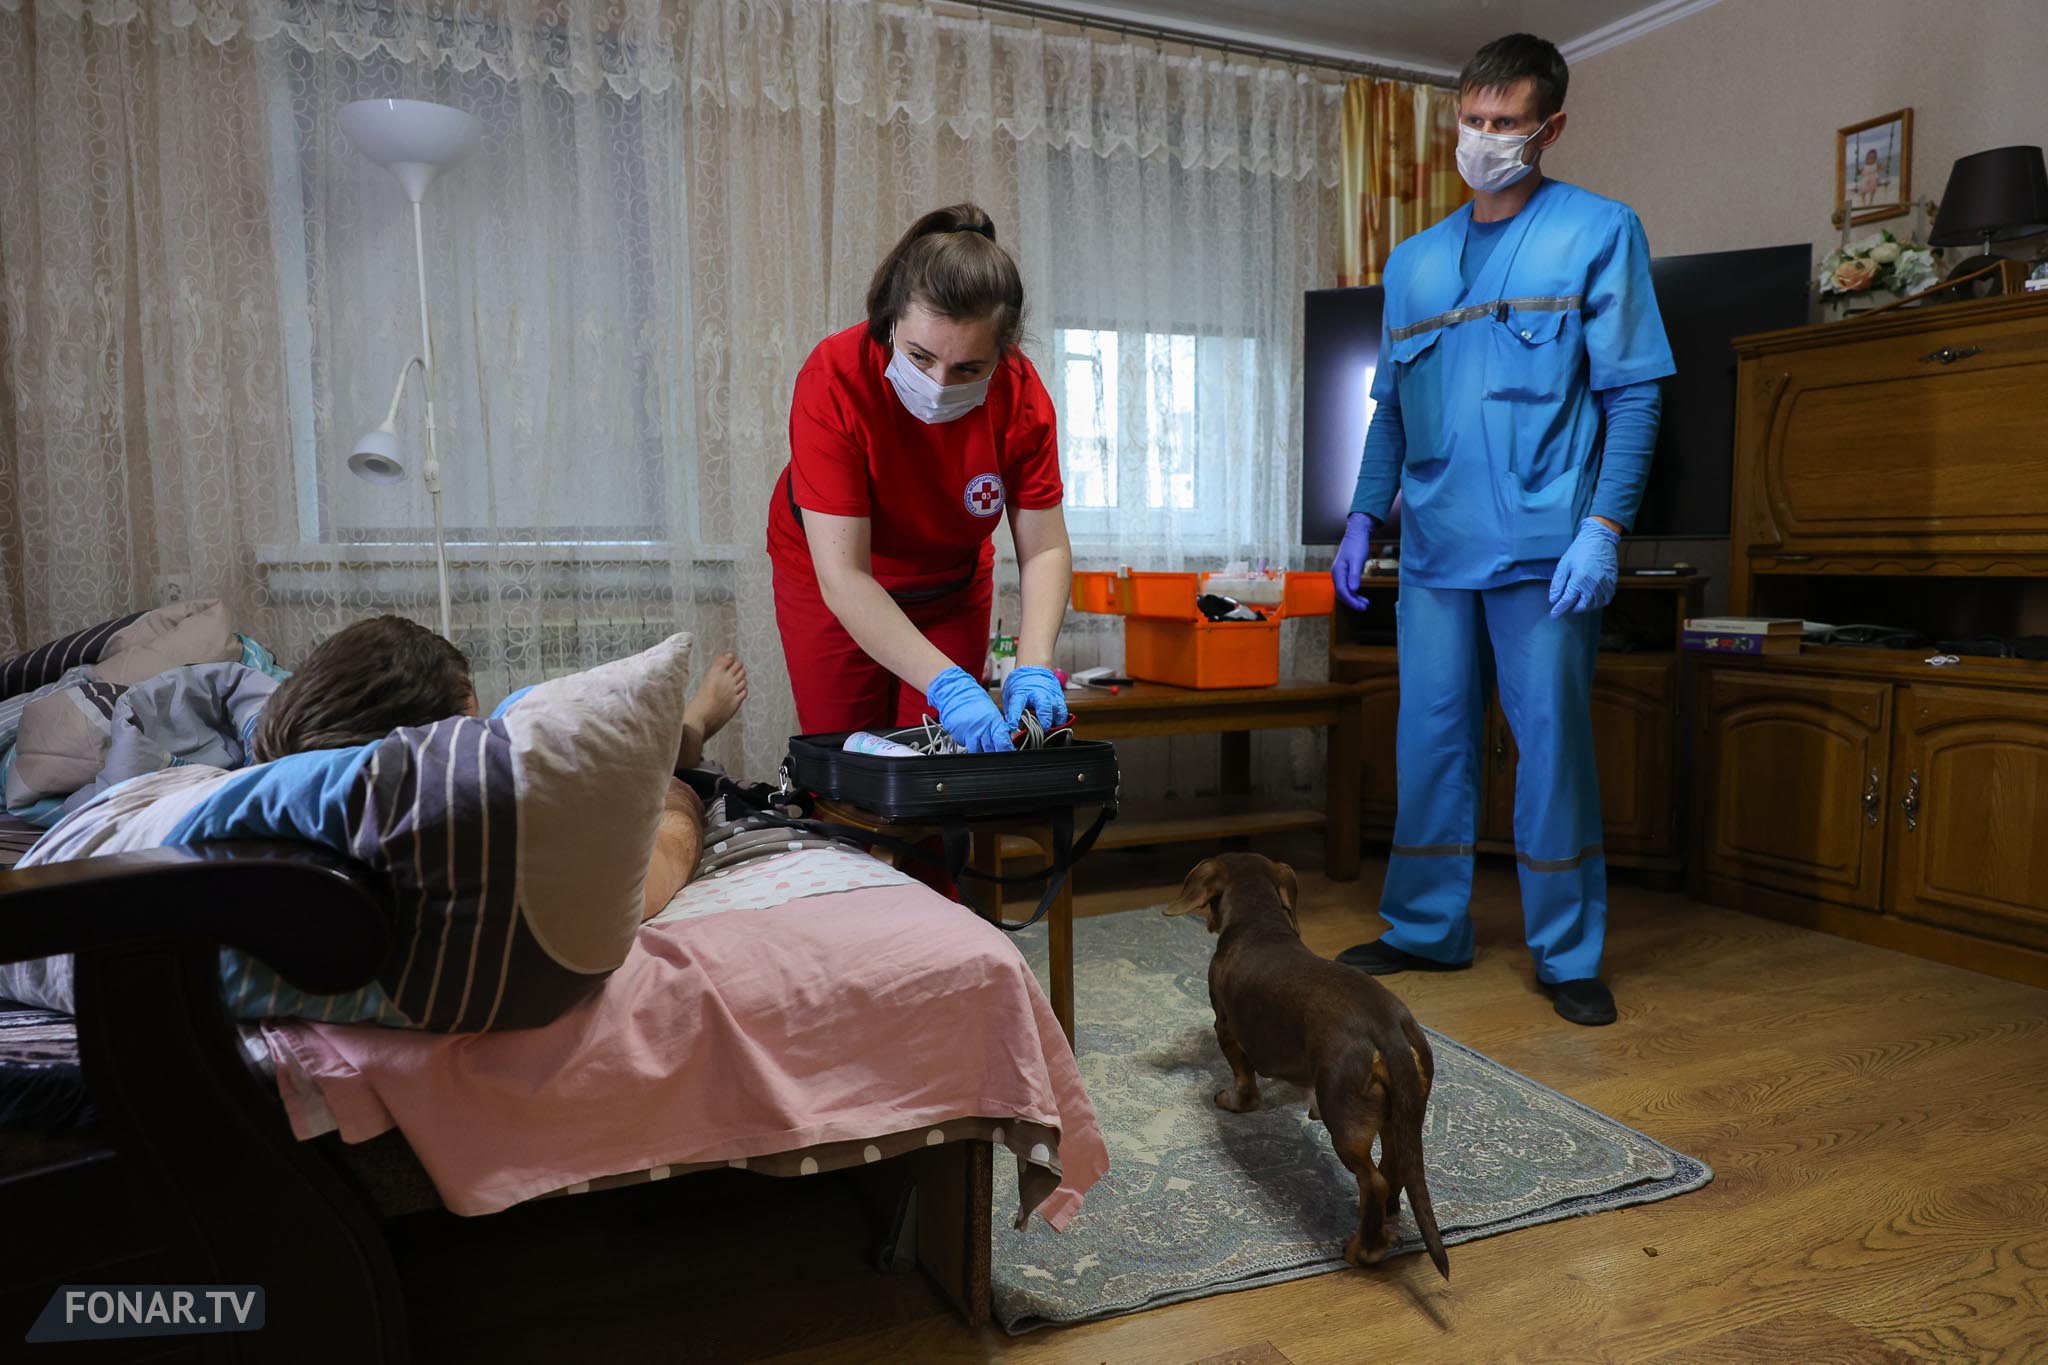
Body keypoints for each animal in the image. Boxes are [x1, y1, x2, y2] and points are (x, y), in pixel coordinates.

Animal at [1164, 852, 1448, 1279]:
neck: (1260, 924)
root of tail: (1388, 1031)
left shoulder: (1226, 1028)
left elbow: (1242, 1075)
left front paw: (1235, 1101)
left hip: (1346, 1124)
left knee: (1373, 1181)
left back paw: (1364, 1249)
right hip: (1398, 1113)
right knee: (1393, 1166)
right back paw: (1387, 1220)